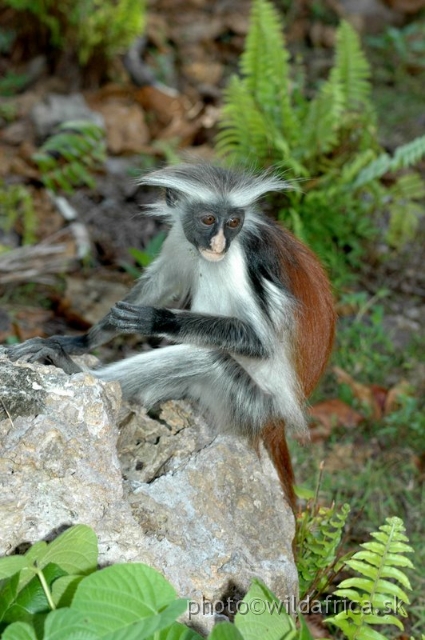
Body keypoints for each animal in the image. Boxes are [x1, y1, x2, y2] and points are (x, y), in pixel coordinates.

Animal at [6, 162, 334, 512]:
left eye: (233, 223)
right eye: (208, 220)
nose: (219, 244)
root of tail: (277, 422)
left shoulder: (237, 260)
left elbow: (261, 343)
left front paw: (158, 320)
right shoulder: (182, 237)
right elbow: (160, 281)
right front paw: (80, 342)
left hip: (252, 404)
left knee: (205, 355)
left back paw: (76, 371)